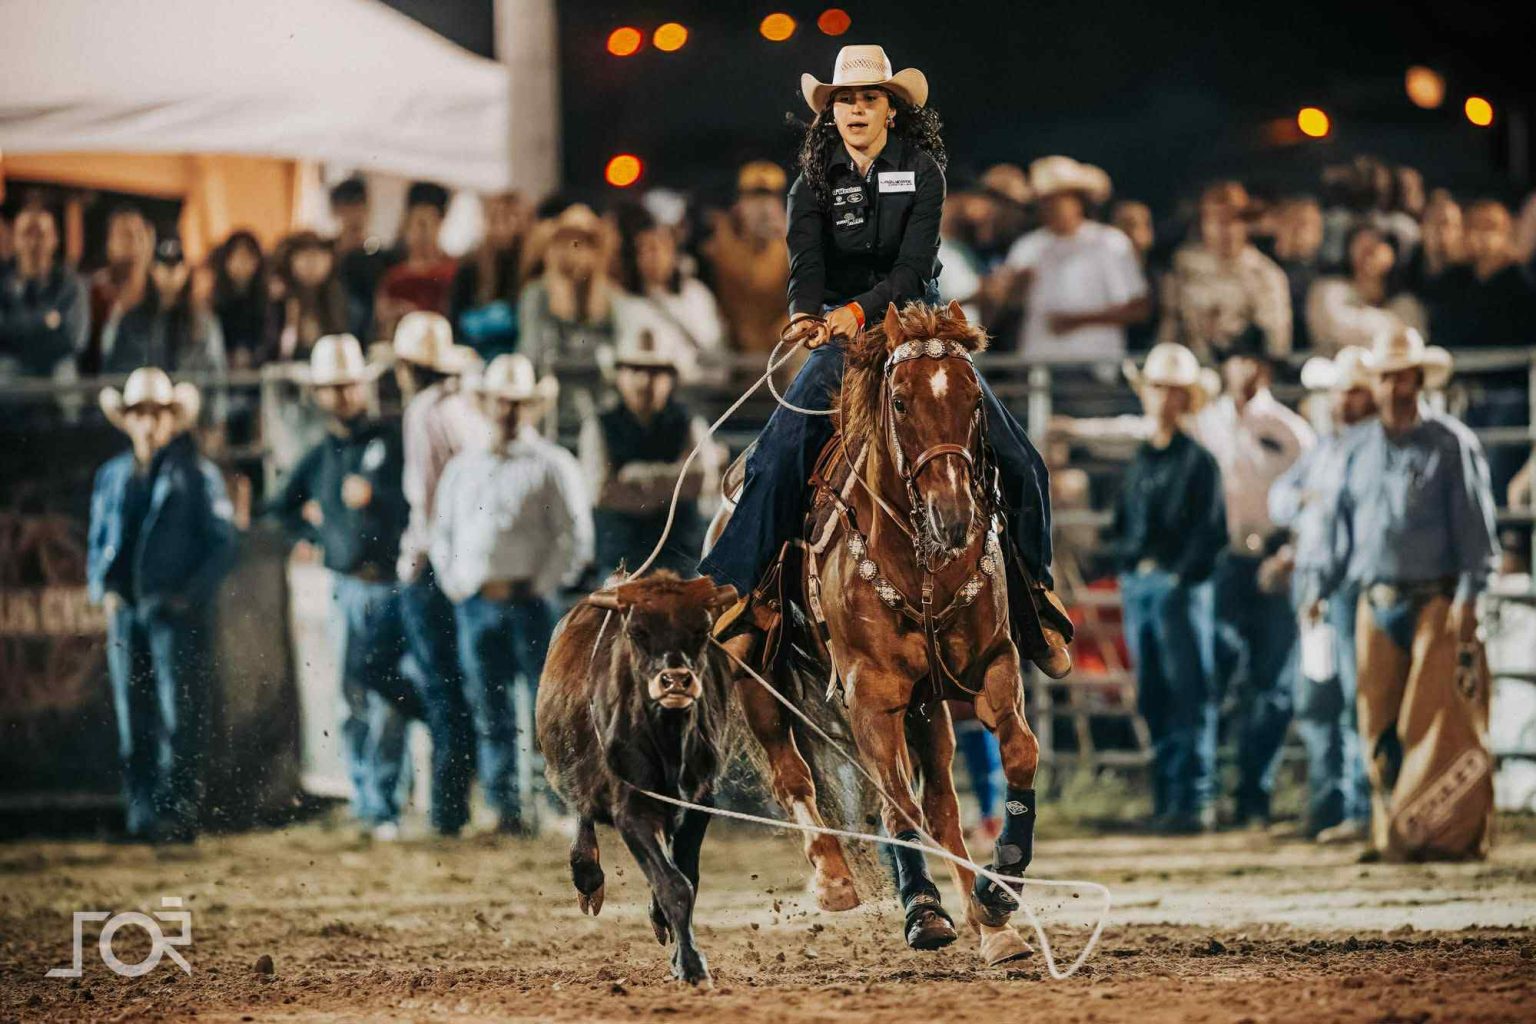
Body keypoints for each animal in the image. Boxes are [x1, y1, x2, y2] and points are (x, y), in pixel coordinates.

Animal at [535, 572, 738, 986]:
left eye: (701, 629)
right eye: (638, 632)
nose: (675, 681)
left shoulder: (699, 802)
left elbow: (685, 876)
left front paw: (676, 946)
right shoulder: (633, 809)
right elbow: (674, 885)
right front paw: (692, 966)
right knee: (583, 817)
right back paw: (587, 876)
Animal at [715, 300, 1041, 967]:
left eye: (974, 398)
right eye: (900, 402)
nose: (953, 517)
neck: (921, 566)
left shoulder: (994, 664)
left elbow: (1018, 753)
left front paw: (1001, 889)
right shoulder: (871, 693)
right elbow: (893, 800)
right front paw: (923, 912)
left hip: (927, 706)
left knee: (941, 803)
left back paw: (988, 921)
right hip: (759, 677)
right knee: (794, 773)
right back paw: (834, 879)